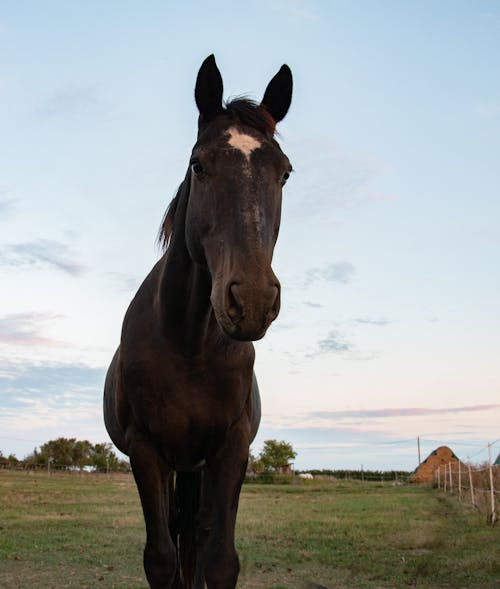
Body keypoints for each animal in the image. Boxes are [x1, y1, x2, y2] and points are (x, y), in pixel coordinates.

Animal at [104, 55, 292, 588]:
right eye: (198, 165)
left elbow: (219, 559)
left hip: (199, 469)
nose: (252, 299)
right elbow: (161, 559)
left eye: (285, 173)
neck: (188, 345)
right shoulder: (147, 452)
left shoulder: (230, 451)